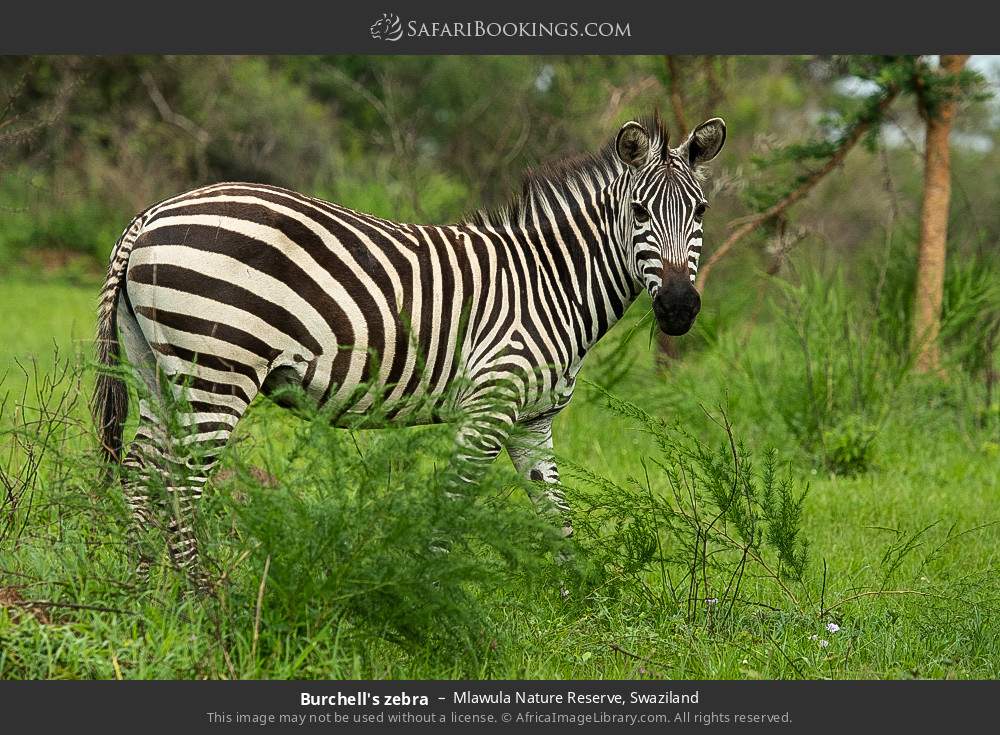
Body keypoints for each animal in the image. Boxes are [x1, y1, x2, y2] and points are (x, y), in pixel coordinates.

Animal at [93, 111, 726, 590]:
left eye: (700, 212)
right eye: (639, 213)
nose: (678, 308)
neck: (549, 281)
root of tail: (152, 213)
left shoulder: (532, 421)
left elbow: (557, 518)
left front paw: (585, 607)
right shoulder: (489, 405)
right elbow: (453, 502)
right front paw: (424, 597)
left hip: (158, 370)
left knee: (142, 473)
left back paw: (138, 596)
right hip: (218, 374)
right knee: (179, 486)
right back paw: (200, 603)